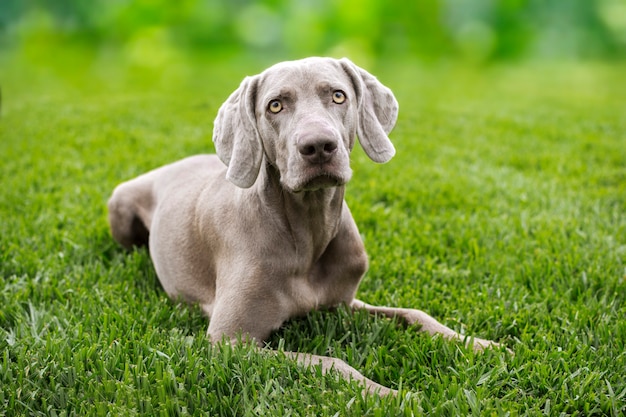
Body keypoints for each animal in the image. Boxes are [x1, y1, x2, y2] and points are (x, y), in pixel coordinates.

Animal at [108, 57, 502, 394]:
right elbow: (333, 363)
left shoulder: (342, 304)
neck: (308, 232)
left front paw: (481, 345)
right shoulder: (229, 342)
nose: (318, 146)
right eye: (275, 105)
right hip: (119, 206)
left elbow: (414, 313)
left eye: (339, 95)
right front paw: (391, 395)